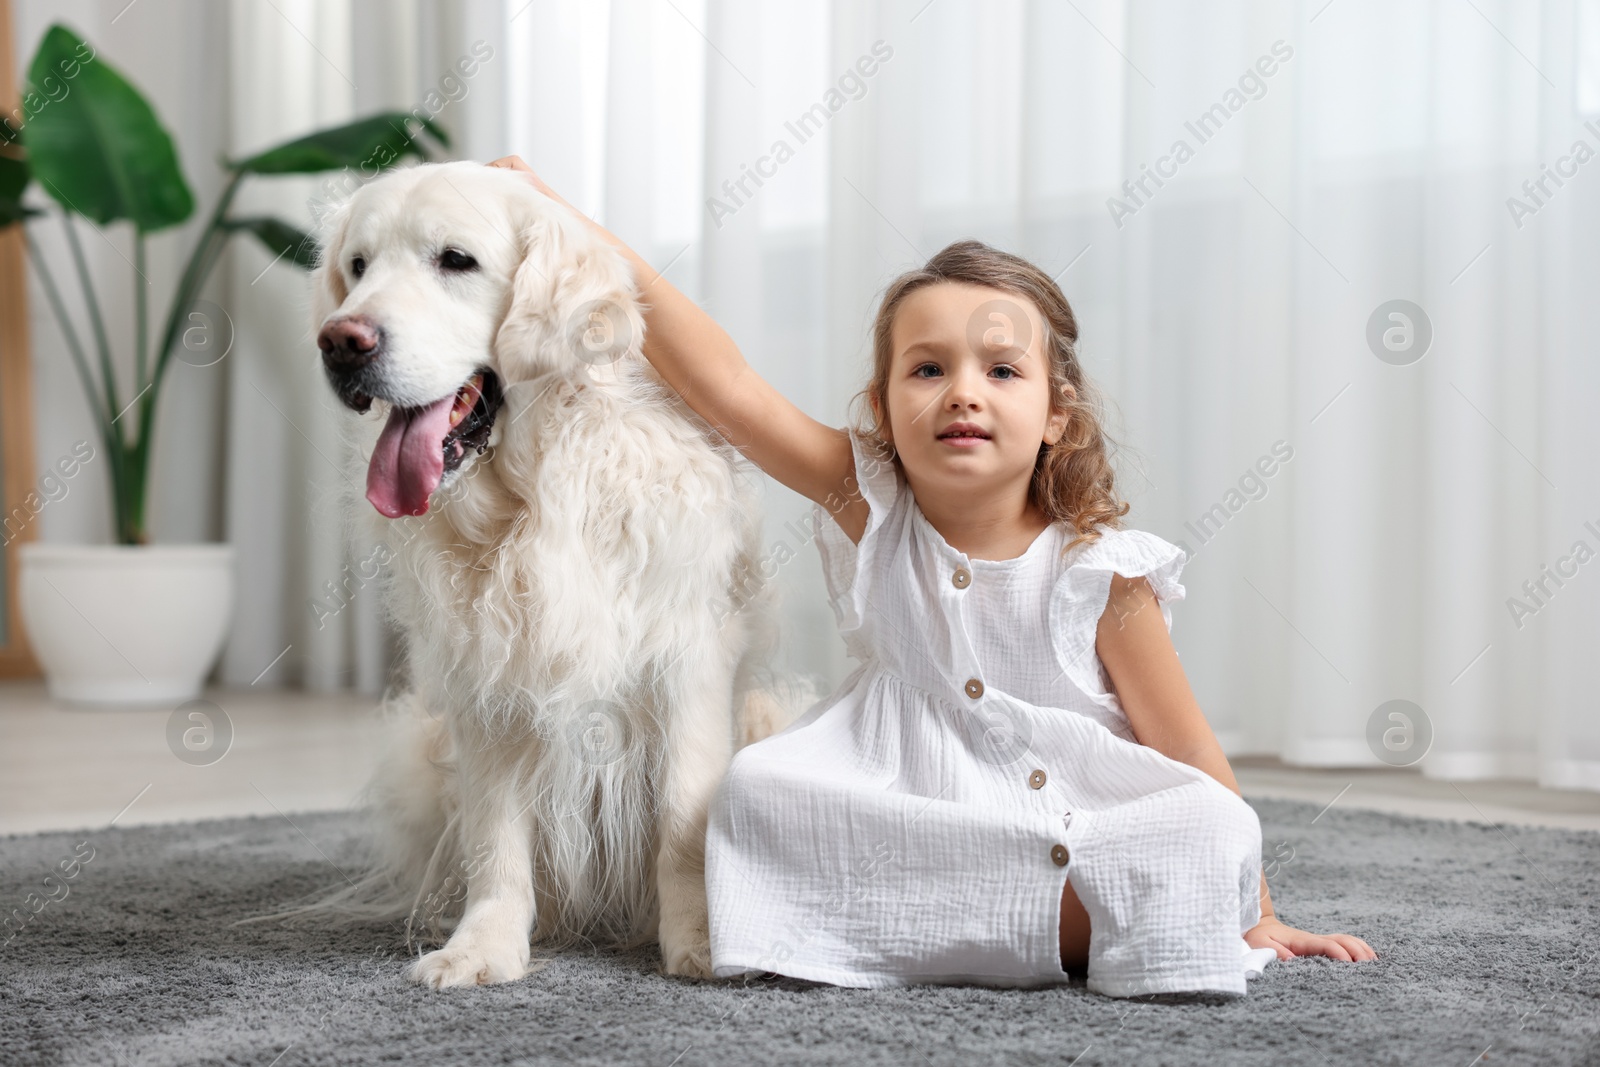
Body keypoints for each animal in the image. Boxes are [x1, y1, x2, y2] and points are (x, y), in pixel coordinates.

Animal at [264, 163, 812, 991]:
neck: (537, 491)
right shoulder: (487, 676)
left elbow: (684, 821)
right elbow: (494, 837)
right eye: (357, 267)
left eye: (455, 260)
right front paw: (483, 946)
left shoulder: (687, 662)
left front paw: (701, 939)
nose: (341, 341)